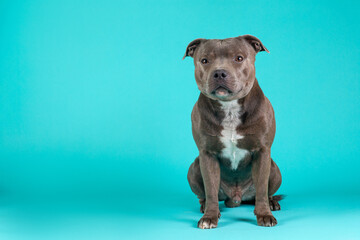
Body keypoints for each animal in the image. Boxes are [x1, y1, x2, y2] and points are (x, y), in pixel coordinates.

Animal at [184, 34, 282, 229]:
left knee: (265, 192)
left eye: (239, 58)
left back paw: (272, 202)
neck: (229, 107)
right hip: (194, 167)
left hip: (274, 169)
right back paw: (204, 206)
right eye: (204, 60)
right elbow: (211, 190)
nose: (219, 72)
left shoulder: (262, 152)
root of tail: (237, 198)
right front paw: (209, 216)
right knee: (204, 194)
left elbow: (261, 189)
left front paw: (264, 214)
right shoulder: (207, 155)